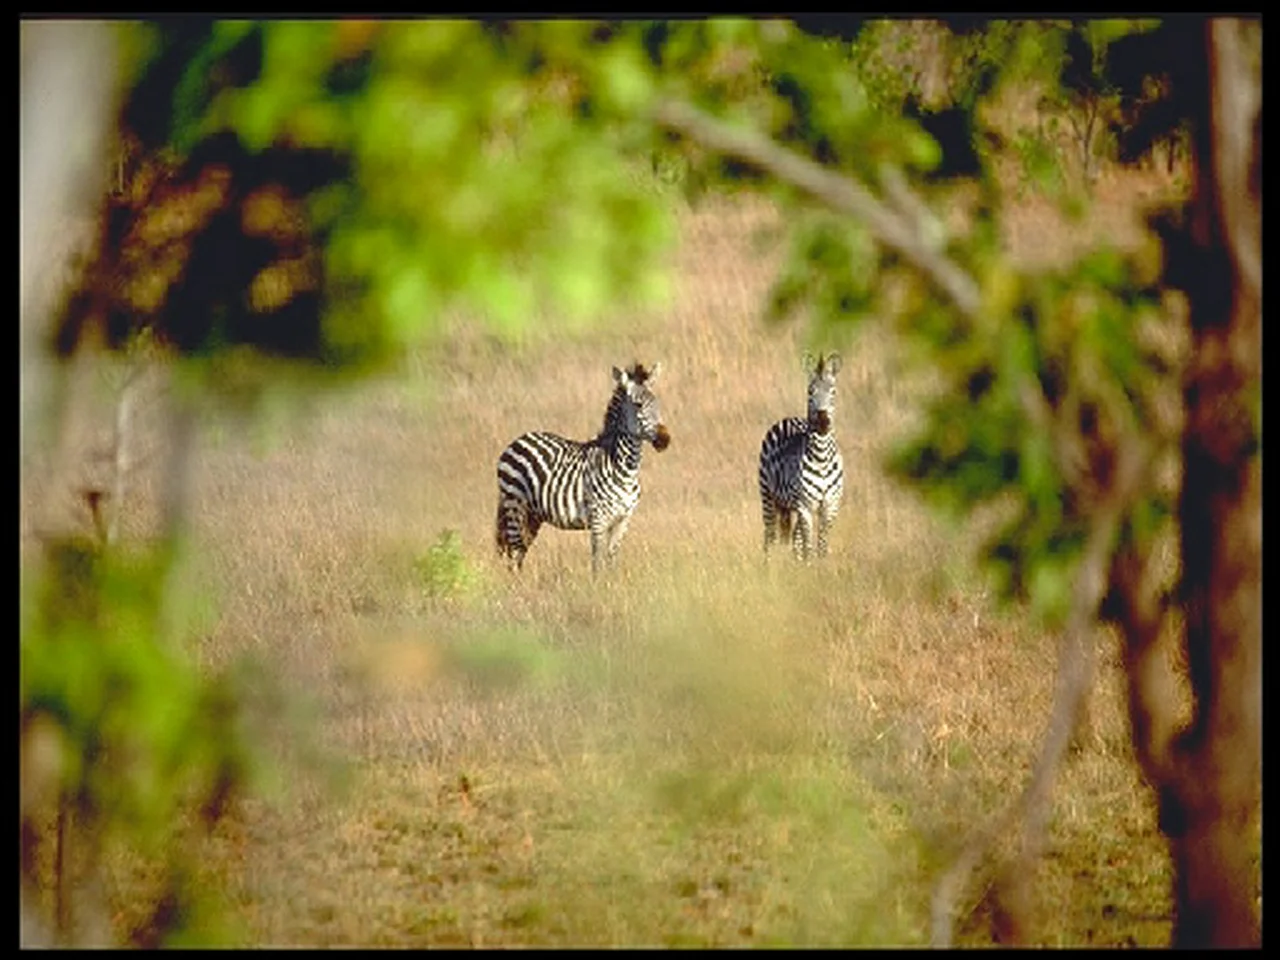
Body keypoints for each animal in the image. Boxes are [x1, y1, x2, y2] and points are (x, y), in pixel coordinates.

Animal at [495, 362, 670, 574]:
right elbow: (597, 562)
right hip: (514, 505)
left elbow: (612, 560)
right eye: (638, 405)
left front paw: (614, 582)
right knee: (514, 554)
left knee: (520, 553)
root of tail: (518, 439)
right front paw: (598, 583)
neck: (625, 470)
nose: (664, 439)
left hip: (532, 514)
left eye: (657, 403)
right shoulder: (598, 520)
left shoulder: (622, 520)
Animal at [758, 352, 845, 561]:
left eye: (833, 392)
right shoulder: (805, 505)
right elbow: (809, 546)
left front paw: (820, 568)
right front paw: (809, 566)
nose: (823, 422)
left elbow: (821, 544)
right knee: (770, 536)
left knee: (794, 540)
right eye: (810, 392)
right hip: (767, 496)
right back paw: (767, 565)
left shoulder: (830, 505)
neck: (822, 458)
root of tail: (788, 419)